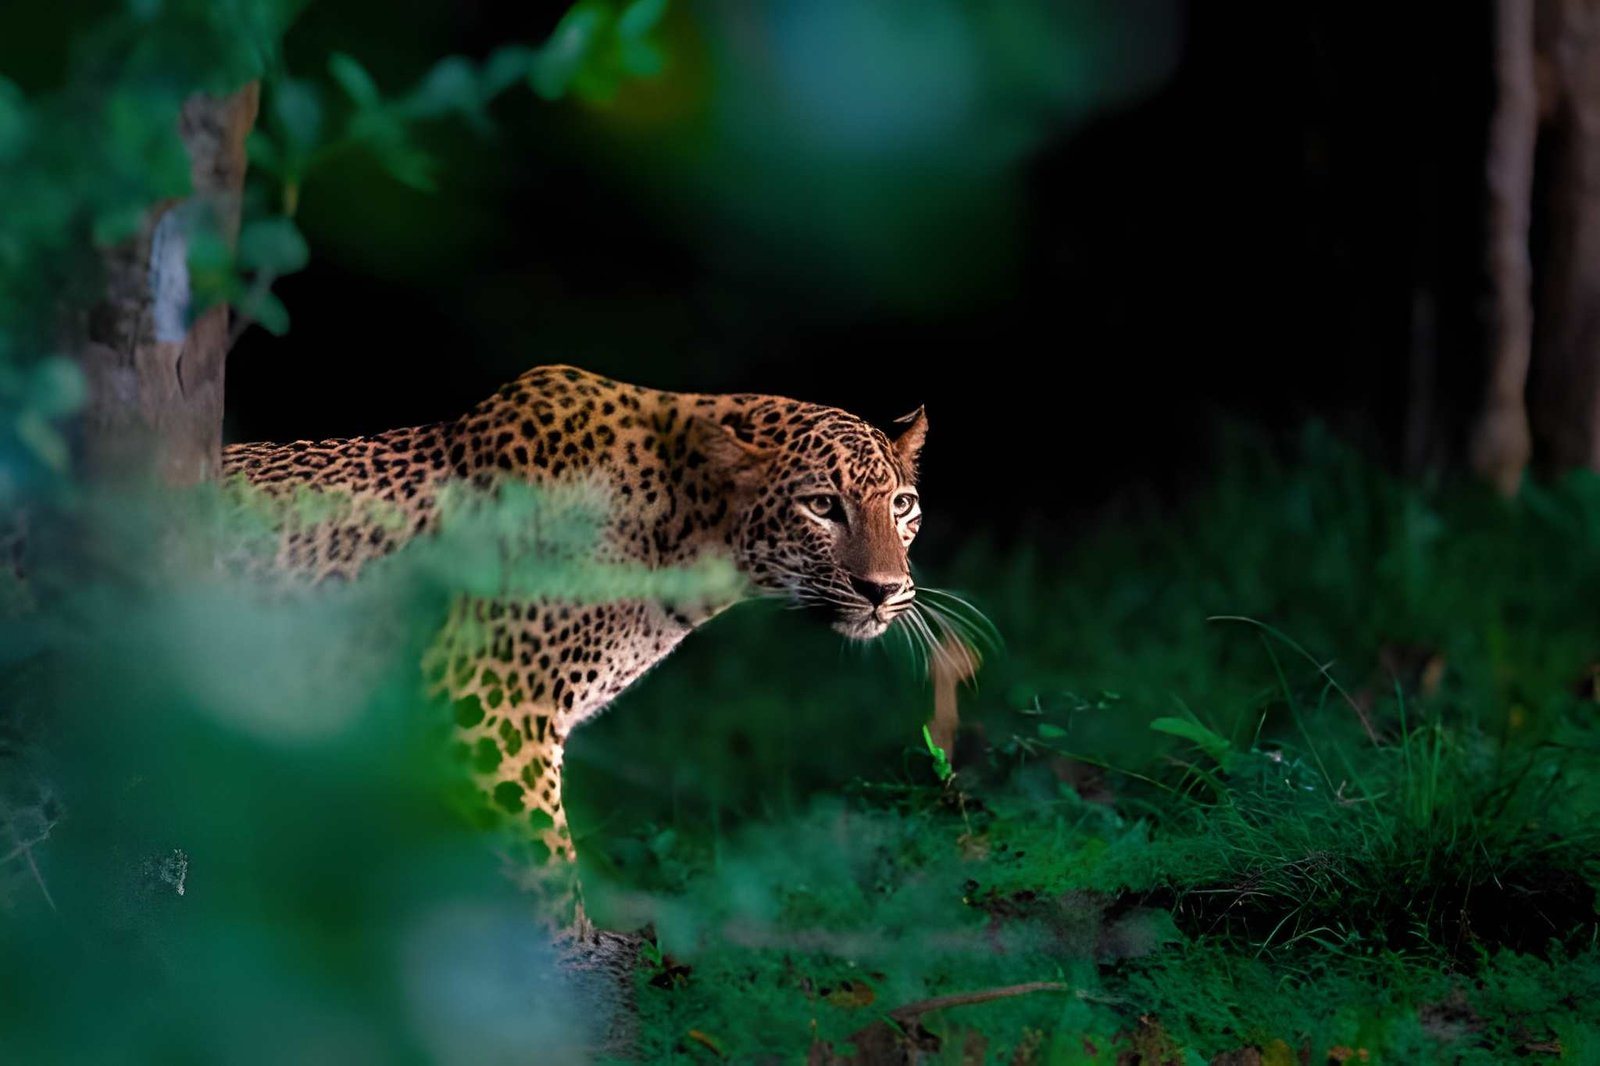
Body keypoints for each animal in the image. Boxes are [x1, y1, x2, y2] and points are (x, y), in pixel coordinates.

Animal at [222, 365, 934, 932]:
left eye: (902, 505)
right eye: (821, 506)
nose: (884, 589)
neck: (685, 535)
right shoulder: (489, 712)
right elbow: (548, 881)